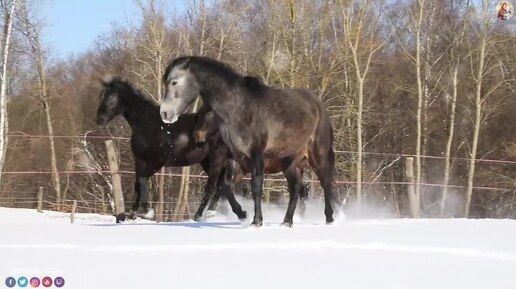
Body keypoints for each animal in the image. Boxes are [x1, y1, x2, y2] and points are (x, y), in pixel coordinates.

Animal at [98, 75, 249, 222]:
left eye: (111, 97)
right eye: (101, 95)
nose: (99, 119)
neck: (147, 124)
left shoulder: (158, 161)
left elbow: (142, 179)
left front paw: (147, 211)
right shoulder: (140, 159)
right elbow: (138, 183)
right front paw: (132, 215)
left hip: (216, 158)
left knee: (213, 185)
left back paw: (200, 215)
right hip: (212, 160)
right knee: (224, 184)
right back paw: (234, 213)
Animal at [159, 56, 340, 226]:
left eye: (174, 82)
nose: (165, 113)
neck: (241, 108)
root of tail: (318, 104)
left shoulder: (255, 154)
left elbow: (254, 186)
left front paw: (256, 221)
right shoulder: (236, 158)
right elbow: (225, 186)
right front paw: (240, 214)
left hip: (318, 154)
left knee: (325, 182)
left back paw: (330, 218)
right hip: (289, 162)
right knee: (295, 188)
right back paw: (287, 221)